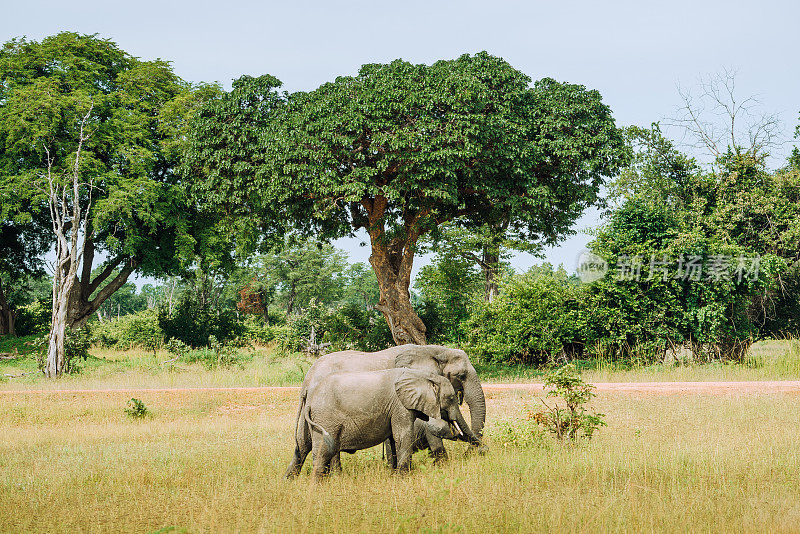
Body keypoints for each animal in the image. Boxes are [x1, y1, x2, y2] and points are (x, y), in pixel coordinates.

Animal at [288, 346, 488, 480]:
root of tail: (307, 380)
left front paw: (393, 472)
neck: (433, 351)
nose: (481, 451)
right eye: (461, 376)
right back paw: (336, 478)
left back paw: (290, 480)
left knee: (303, 444)